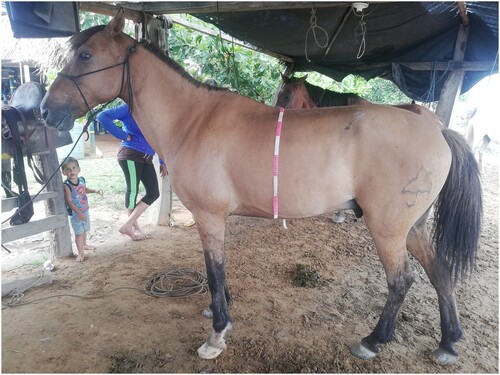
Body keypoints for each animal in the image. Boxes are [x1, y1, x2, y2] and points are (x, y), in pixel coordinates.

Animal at [42, 11, 480, 368]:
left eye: (86, 56)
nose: (46, 111)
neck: (193, 120)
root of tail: (437, 130)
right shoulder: (214, 219)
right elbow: (218, 268)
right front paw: (220, 313)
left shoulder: (208, 216)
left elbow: (214, 269)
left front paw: (217, 334)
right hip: (413, 226)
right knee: (439, 270)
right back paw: (449, 341)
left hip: (387, 229)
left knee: (401, 280)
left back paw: (373, 341)